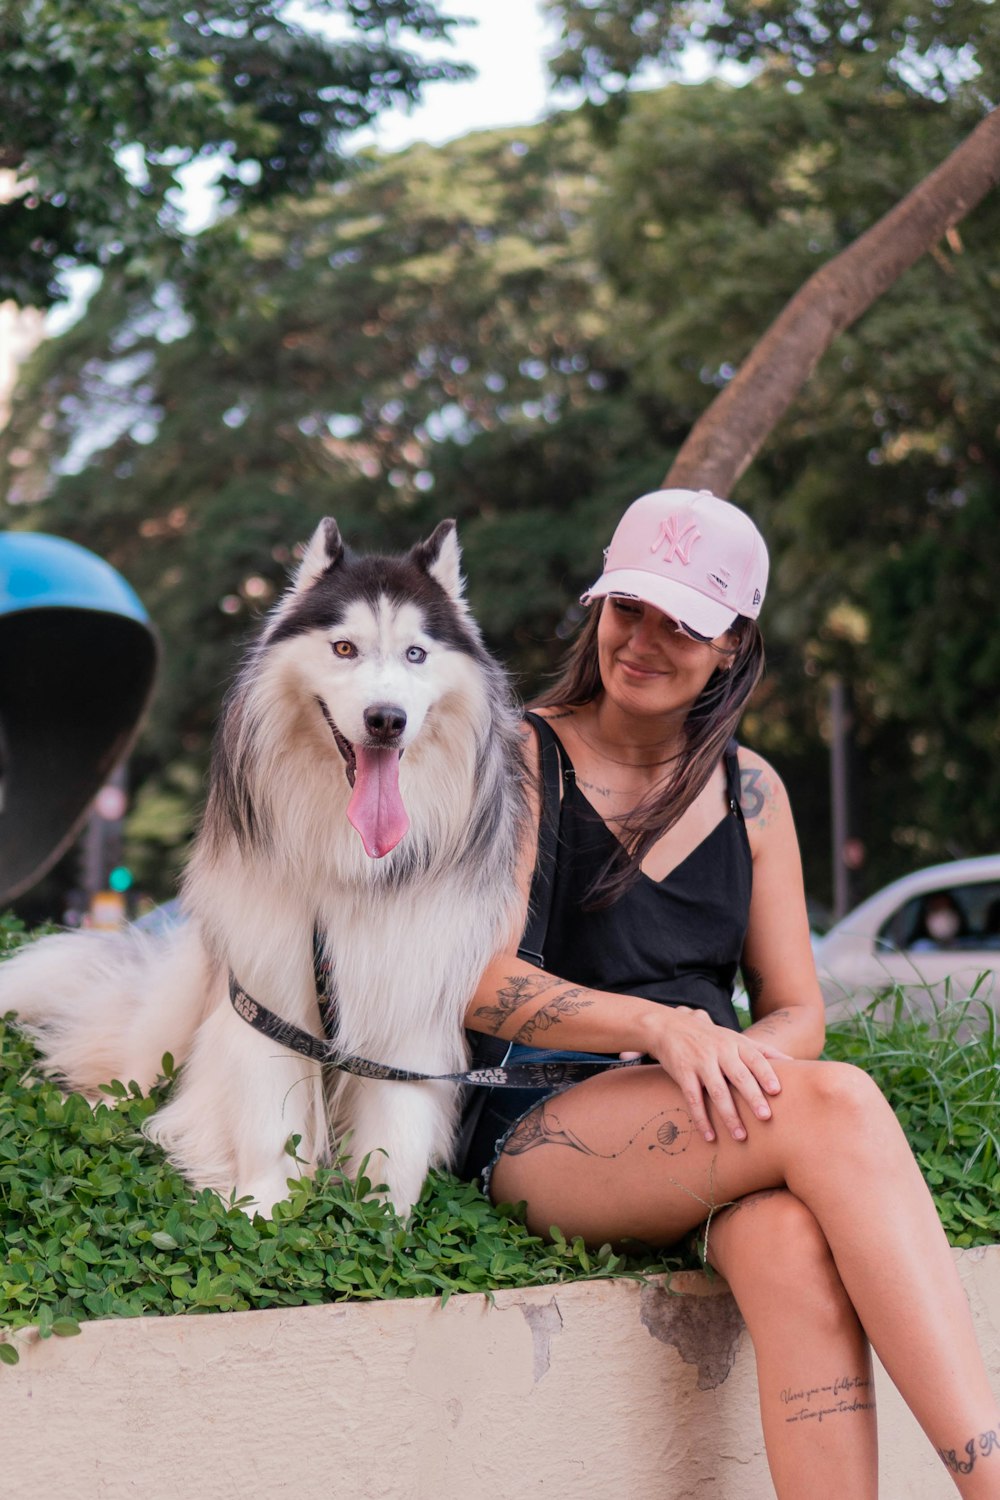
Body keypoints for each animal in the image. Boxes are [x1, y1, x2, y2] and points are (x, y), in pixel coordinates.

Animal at [0, 522, 527, 1212]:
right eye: (344, 647)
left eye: (416, 654)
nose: (386, 720)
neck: (350, 864)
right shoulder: (267, 987)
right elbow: (269, 1121)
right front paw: (263, 1209)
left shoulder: (409, 992)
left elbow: (395, 1134)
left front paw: (383, 1217)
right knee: (128, 1071)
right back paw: (94, 1107)